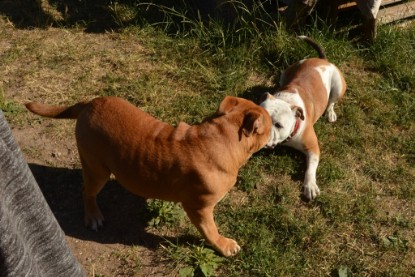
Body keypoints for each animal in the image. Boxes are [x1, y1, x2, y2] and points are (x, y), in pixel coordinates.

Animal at [26, 96, 272, 256]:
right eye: (271, 125)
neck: (223, 134)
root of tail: (89, 104)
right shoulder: (199, 208)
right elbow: (211, 231)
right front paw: (224, 245)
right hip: (98, 171)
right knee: (87, 191)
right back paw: (93, 215)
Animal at [260, 36, 348, 201]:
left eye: (278, 125)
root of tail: (323, 60)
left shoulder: (313, 148)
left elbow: (310, 169)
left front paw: (310, 185)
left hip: (339, 87)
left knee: (332, 101)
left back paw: (330, 113)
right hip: (286, 72)